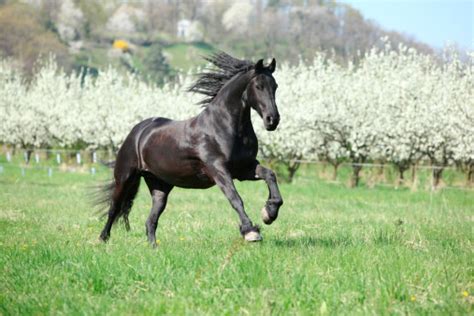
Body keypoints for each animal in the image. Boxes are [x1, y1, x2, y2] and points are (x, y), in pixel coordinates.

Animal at [97, 52, 282, 244]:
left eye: (275, 86)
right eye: (259, 86)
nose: (272, 120)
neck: (222, 126)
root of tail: (137, 131)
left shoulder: (244, 168)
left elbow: (270, 175)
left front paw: (269, 213)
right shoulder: (218, 170)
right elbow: (235, 198)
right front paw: (250, 232)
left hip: (160, 185)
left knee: (151, 220)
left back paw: (153, 247)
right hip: (125, 177)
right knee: (114, 208)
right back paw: (103, 239)